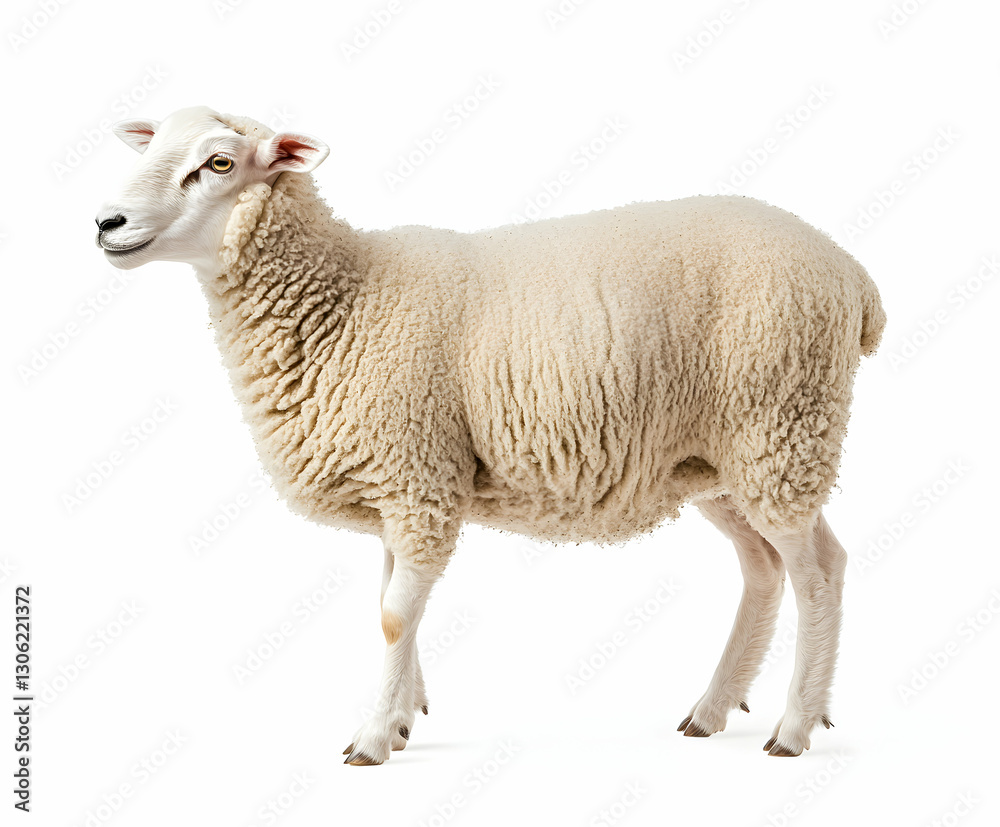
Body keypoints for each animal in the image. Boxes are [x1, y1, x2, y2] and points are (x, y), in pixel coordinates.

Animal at [95, 106, 886, 764]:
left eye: (218, 162)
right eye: (152, 148)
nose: (105, 221)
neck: (346, 298)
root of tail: (854, 276)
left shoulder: (418, 476)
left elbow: (392, 617)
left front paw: (373, 738)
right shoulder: (405, 485)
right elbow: (392, 605)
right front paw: (403, 714)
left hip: (780, 429)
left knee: (820, 571)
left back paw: (793, 728)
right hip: (721, 459)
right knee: (763, 568)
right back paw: (713, 709)